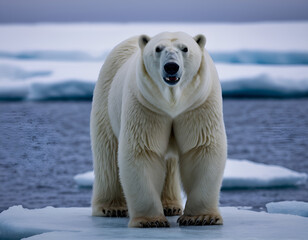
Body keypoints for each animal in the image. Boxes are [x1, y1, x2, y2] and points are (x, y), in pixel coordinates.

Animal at [90, 32, 227, 229]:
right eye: (157, 49)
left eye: (185, 48)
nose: (171, 67)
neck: (172, 101)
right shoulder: (145, 105)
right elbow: (143, 151)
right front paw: (151, 220)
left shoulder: (198, 104)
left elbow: (201, 149)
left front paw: (201, 218)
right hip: (106, 98)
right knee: (107, 153)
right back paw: (111, 208)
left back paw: (171, 206)